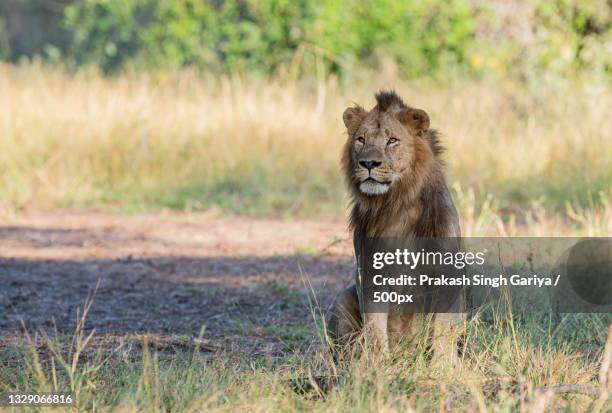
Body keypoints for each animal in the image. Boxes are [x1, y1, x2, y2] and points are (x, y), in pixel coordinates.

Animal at [326, 89, 464, 364]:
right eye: (361, 139)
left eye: (392, 140)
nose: (369, 163)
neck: (395, 205)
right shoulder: (370, 272)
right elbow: (375, 328)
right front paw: (377, 365)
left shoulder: (446, 274)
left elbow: (443, 328)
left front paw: (444, 367)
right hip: (343, 299)